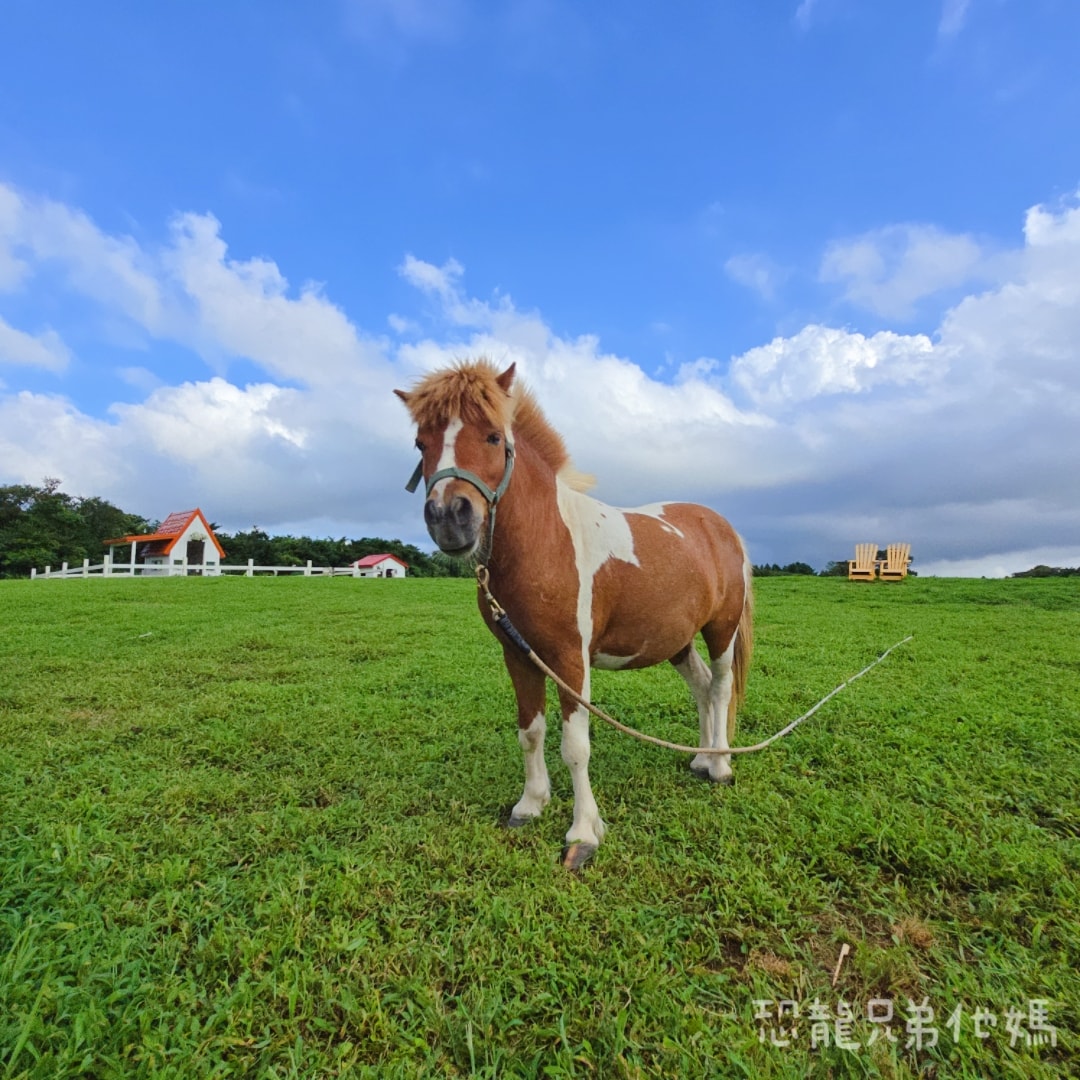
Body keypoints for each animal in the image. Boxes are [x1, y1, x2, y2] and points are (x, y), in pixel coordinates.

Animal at [395, 360, 753, 869]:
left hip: (721, 628)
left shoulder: (569, 658)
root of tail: (721, 526)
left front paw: (583, 833)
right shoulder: (519, 655)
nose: (449, 518)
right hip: (677, 640)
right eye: (421, 444)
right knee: (702, 687)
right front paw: (529, 805)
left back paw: (721, 765)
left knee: (721, 688)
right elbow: (530, 732)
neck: (546, 540)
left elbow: (576, 747)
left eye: (492, 437)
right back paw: (701, 759)